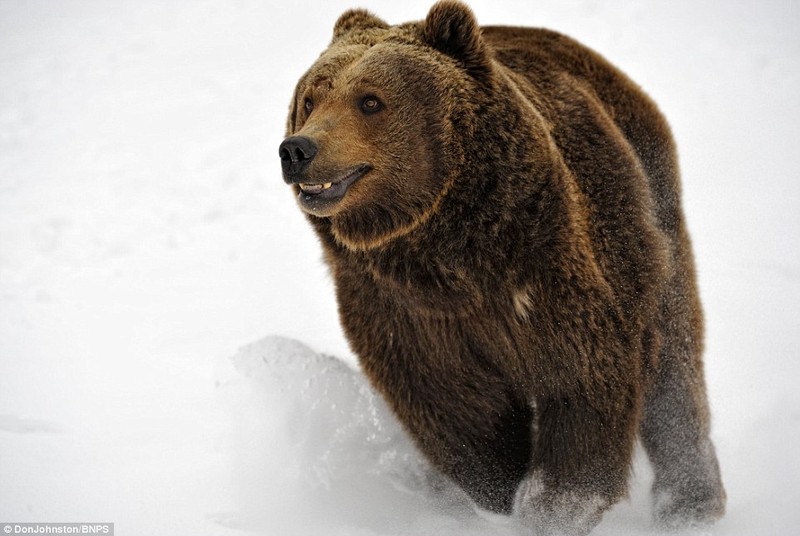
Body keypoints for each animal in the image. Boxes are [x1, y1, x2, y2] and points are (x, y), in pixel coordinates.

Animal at [278, 2, 728, 532]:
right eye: (311, 98)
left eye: (370, 100)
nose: (298, 149)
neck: (446, 253)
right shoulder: (401, 308)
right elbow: (455, 409)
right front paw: (499, 494)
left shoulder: (544, 268)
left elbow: (582, 379)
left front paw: (552, 505)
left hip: (650, 211)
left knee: (674, 358)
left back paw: (690, 504)